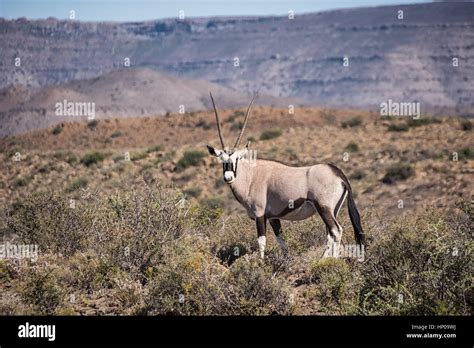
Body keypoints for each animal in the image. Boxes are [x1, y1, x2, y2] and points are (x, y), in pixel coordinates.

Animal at [206, 92, 364, 258]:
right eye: (221, 159)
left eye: (236, 158)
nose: (228, 178)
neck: (251, 176)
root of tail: (337, 172)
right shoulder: (273, 218)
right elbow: (282, 241)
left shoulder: (259, 214)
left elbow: (261, 241)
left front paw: (261, 262)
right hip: (333, 210)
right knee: (330, 233)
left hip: (324, 207)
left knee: (336, 230)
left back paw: (328, 260)